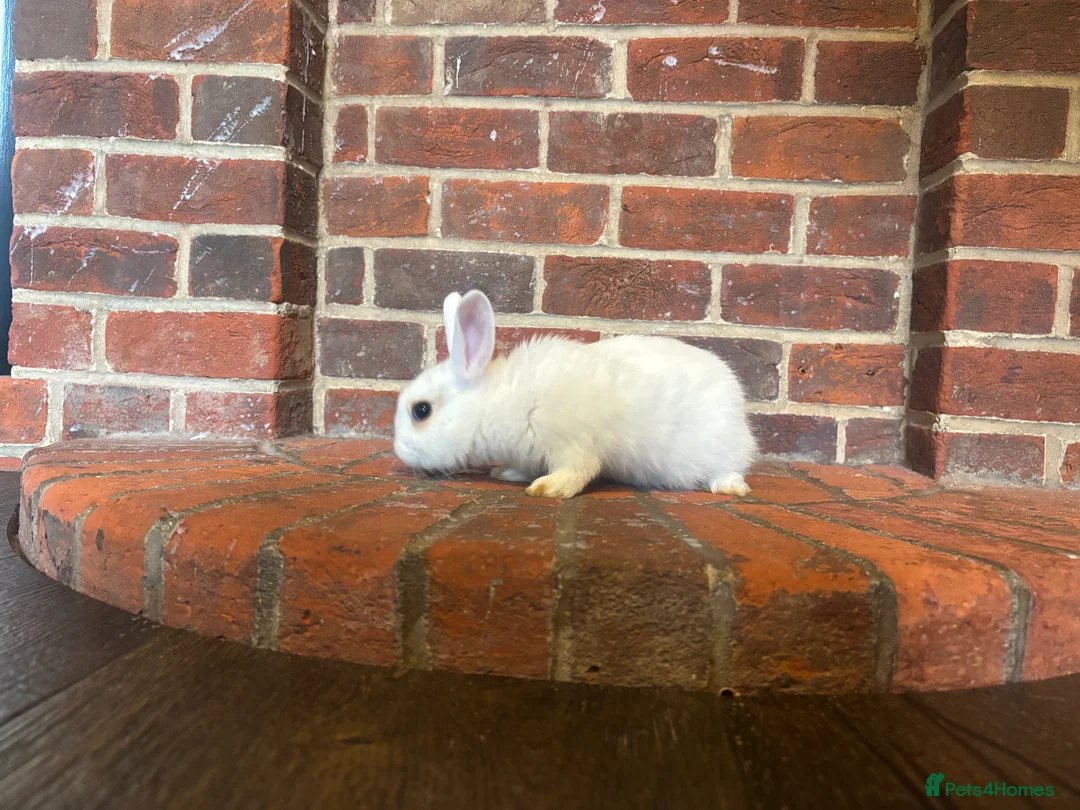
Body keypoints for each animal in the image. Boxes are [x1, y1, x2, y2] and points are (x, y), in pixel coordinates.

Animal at [392, 289, 757, 499]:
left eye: (421, 411)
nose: (398, 451)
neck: (492, 402)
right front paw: (506, 473)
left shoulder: (571, 443)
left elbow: (579, 470)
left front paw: (547, 489)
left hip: (720, 446)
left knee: (730, 467)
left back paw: (730, 487)